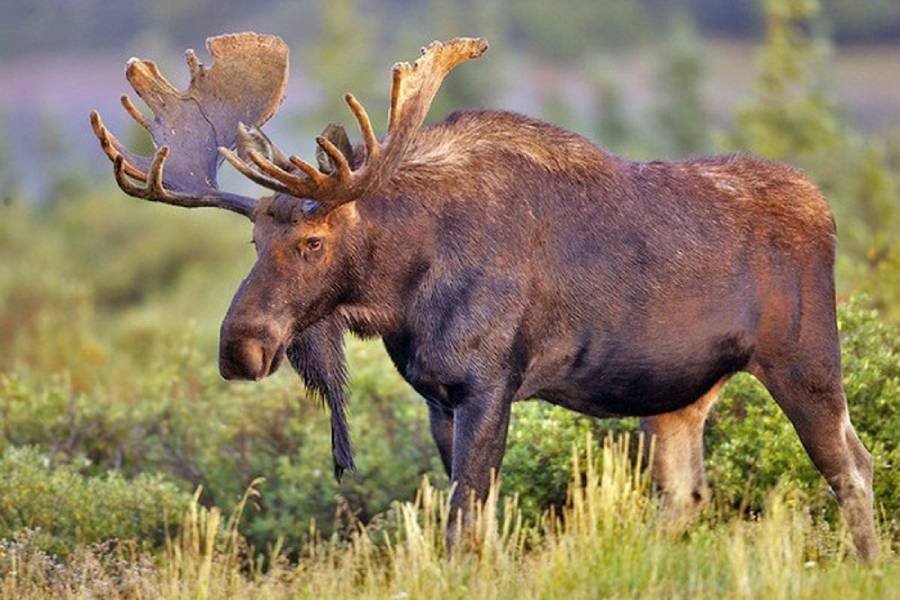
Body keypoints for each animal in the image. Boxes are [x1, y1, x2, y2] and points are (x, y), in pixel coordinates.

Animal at [90, 32, 877, 560]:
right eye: (253, 241)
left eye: (312, 242)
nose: (240, 348)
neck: (402, 291)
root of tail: (825, 208)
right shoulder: (439, 398)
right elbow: (480, 522)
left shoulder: (489, 384)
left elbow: (463, 525)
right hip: (681, 397)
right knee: (685, 496)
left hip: (806, 362)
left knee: (853, 467)